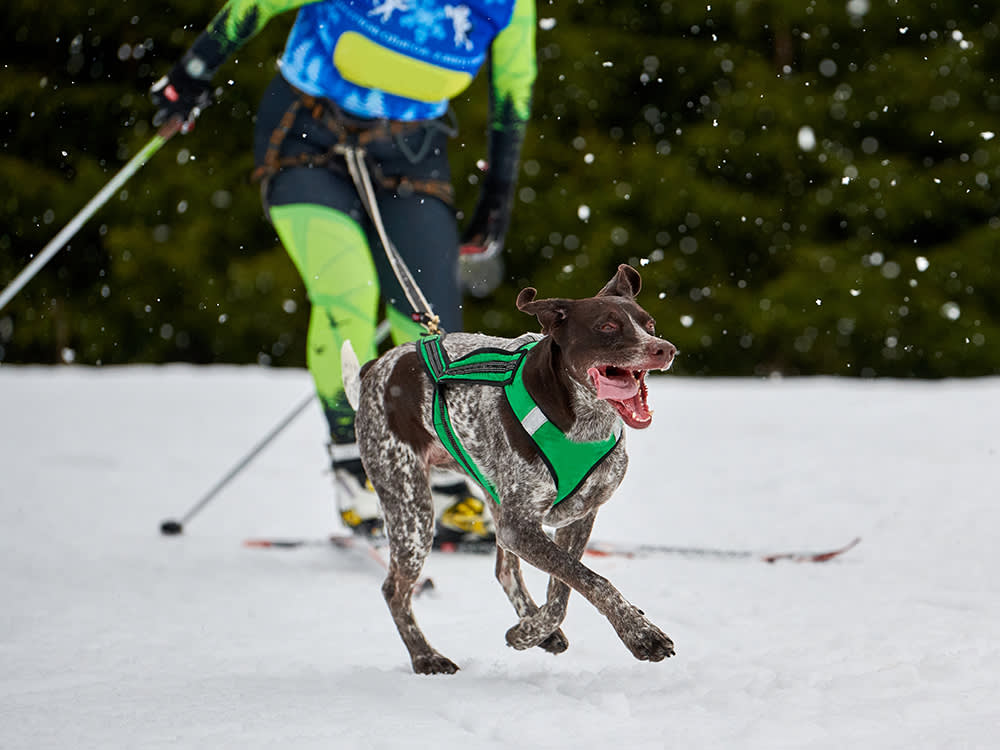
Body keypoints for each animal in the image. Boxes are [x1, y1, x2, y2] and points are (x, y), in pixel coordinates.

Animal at [344, 262, 680, 676]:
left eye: (649, 325)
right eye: (607, 326)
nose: (664, 349)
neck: (584, 421)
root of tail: (377, 367)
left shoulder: (578, 517)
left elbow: (562, 590)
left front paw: (532, 631)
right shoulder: (520, 526)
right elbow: (590, 580)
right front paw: (642, 635)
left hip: (488, 498)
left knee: (504, 569)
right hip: (412, 511)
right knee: (395, 589)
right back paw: (425, 656)